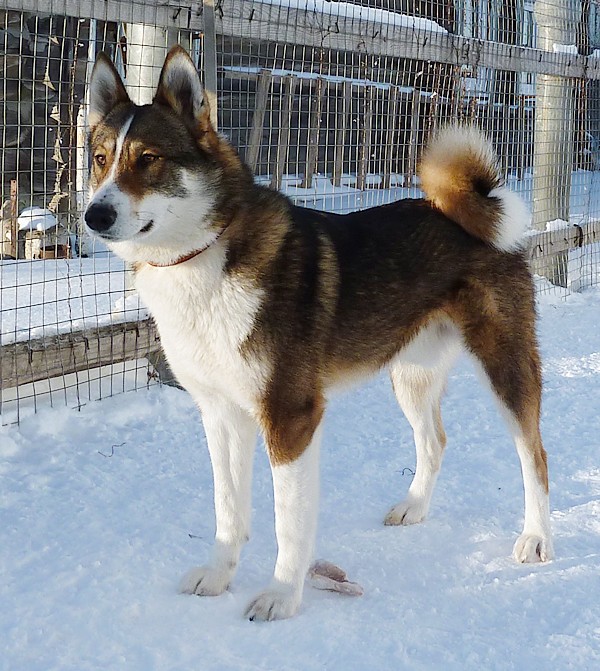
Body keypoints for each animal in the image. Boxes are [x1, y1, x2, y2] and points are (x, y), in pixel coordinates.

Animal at [85, 46, 553, 621]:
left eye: (148, 158)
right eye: (100, 158)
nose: (94, 215)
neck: (203, 258)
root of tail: (472, 208)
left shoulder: (290, 417)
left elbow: (289, 522)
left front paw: (281, 596)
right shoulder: (221, 415)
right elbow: (228, 512)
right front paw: (219, 578)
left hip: (504, 365)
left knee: (534, 455)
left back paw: (536, 538)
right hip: (411, 376)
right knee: (435, 440)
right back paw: (414, 507)